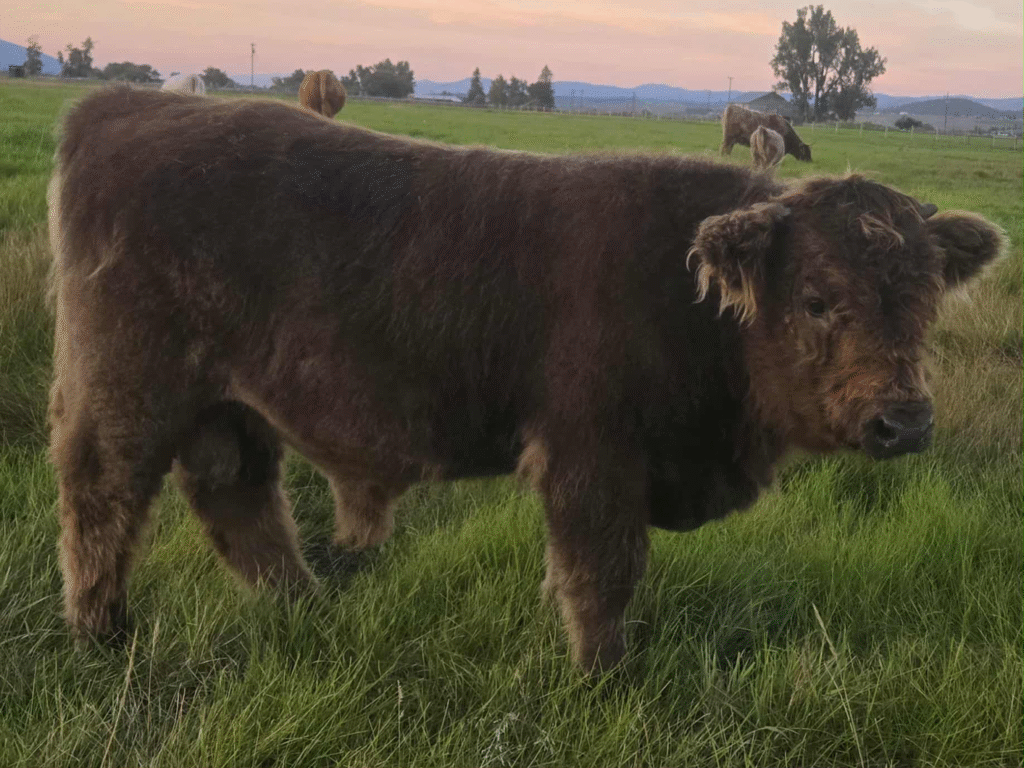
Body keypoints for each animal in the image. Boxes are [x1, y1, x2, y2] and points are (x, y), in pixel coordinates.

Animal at [48, 87, 1004, 672]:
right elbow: (601, 575)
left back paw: (304, 612)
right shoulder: (591, 458)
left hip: (227, 406)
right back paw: (100, 633)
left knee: (238, 500)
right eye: (815, 297)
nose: (904, 422)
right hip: (130, 388)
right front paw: (606, 676)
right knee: (104, 497)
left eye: (926, 300)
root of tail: (123, 103)